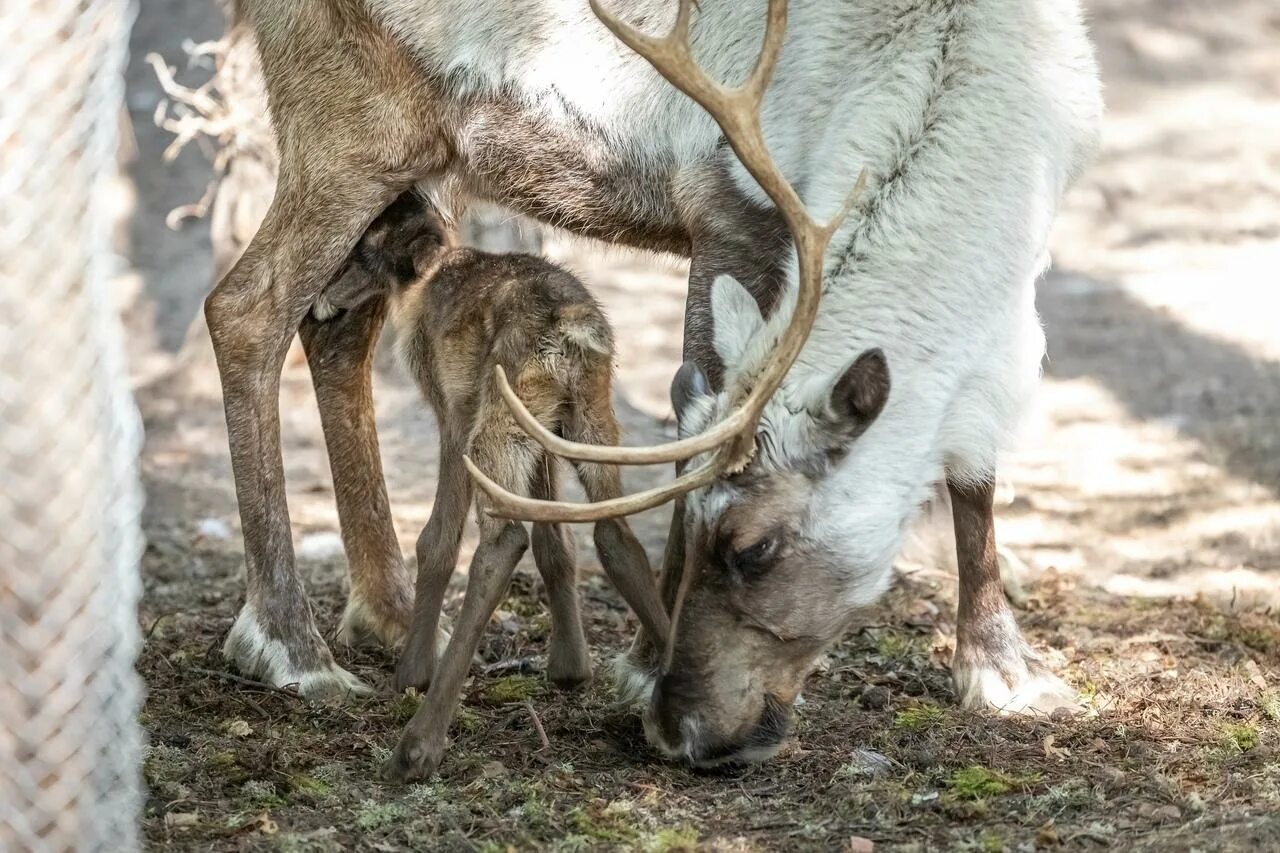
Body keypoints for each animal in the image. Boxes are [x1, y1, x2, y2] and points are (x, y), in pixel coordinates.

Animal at [317, 194, 670, 778]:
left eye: (365, 248)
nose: (320, 300)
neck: (426, 281)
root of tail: (570, 326)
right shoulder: (547, 434)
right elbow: (556, 541)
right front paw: (570, 667)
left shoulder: (451, 410)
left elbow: (436, 539)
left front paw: (411, 672)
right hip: (590, 419)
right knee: (614, 531)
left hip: (496, 423)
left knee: (503, 540)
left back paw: (419, 744)